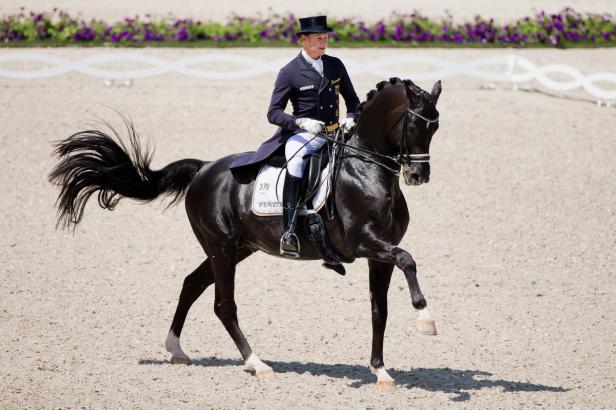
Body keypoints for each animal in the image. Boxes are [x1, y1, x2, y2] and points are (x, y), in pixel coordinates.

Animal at [50, 77, 440, 390]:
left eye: (435, 127)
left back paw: (176, 349)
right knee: (224, 305)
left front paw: (381, 372)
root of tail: (204, 168)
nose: (418, 176)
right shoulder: (364, 243)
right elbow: (408, 259)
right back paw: (257, 364)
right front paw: (425, 318)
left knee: (192, 283)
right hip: (222, 248)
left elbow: (379, 309)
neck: (366, 170)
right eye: (413, 123)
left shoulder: (379, 253)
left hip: (235, 248)